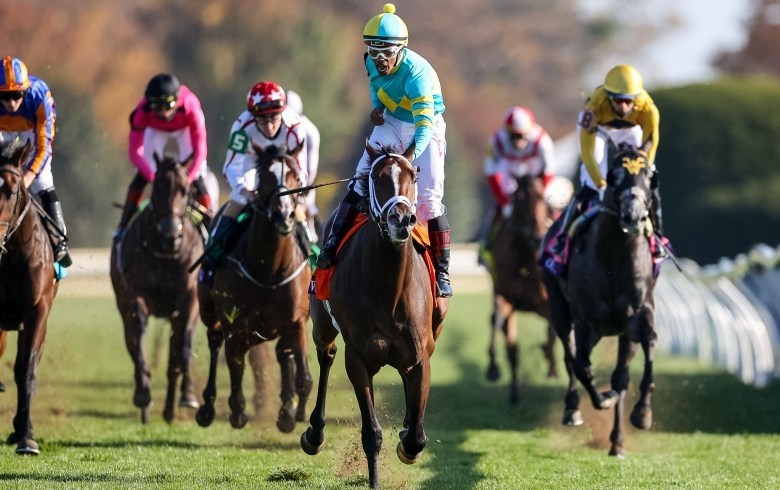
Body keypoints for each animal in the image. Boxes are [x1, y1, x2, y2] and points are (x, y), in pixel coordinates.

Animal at [110, 153, 204, 424]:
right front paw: (143, 391)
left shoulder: (190, 300)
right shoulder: (135, 295)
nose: (171, 235)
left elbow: (184, 346)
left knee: (175, 357)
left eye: (186, 191)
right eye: (158, 188)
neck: (166, 255)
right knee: (132, 341)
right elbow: (138, 333)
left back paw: (171, 410)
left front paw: (188, 395)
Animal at [196, 142, 313, 434]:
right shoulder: (236, 324)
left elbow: (304, 377)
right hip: (210, 311)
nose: (284, 214)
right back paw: (207, 407)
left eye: (295, 175)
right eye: (264, 176)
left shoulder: (297, 321)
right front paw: (237, 411)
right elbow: (235, 364)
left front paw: (294, 413)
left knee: (283, 354)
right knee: (216, 342)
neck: (268, 269)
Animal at [301, 141, 449, 489]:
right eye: (377, 178)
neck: (389, 289)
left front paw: (408, 441)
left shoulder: (420, 356)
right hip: (322, 324)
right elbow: (372, 433)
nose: (402, 219)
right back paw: (315, 434)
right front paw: (374, 478)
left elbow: (417, 437)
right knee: (326, 354)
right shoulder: (357, 358)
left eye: (413, 175)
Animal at [486, 173, 558, 404]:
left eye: (542, 198)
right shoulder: (505, 297)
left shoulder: (547, 302)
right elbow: (498, 323)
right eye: (518, 199)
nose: (536, 236)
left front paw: (550, 361)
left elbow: (553, 332)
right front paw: (493, 368)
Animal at [541, 142, 657, 457]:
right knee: (571, 358)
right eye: (614, 175)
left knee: (620, 375)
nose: (632, 214)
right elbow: (582, 366)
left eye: (648, 174)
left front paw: (642, 412)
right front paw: (602, 399)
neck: (615, 259)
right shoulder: (586, 321)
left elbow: (648, 344)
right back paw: (572, 410)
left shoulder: (638, 314)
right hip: (558, 308)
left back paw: (617, 441)